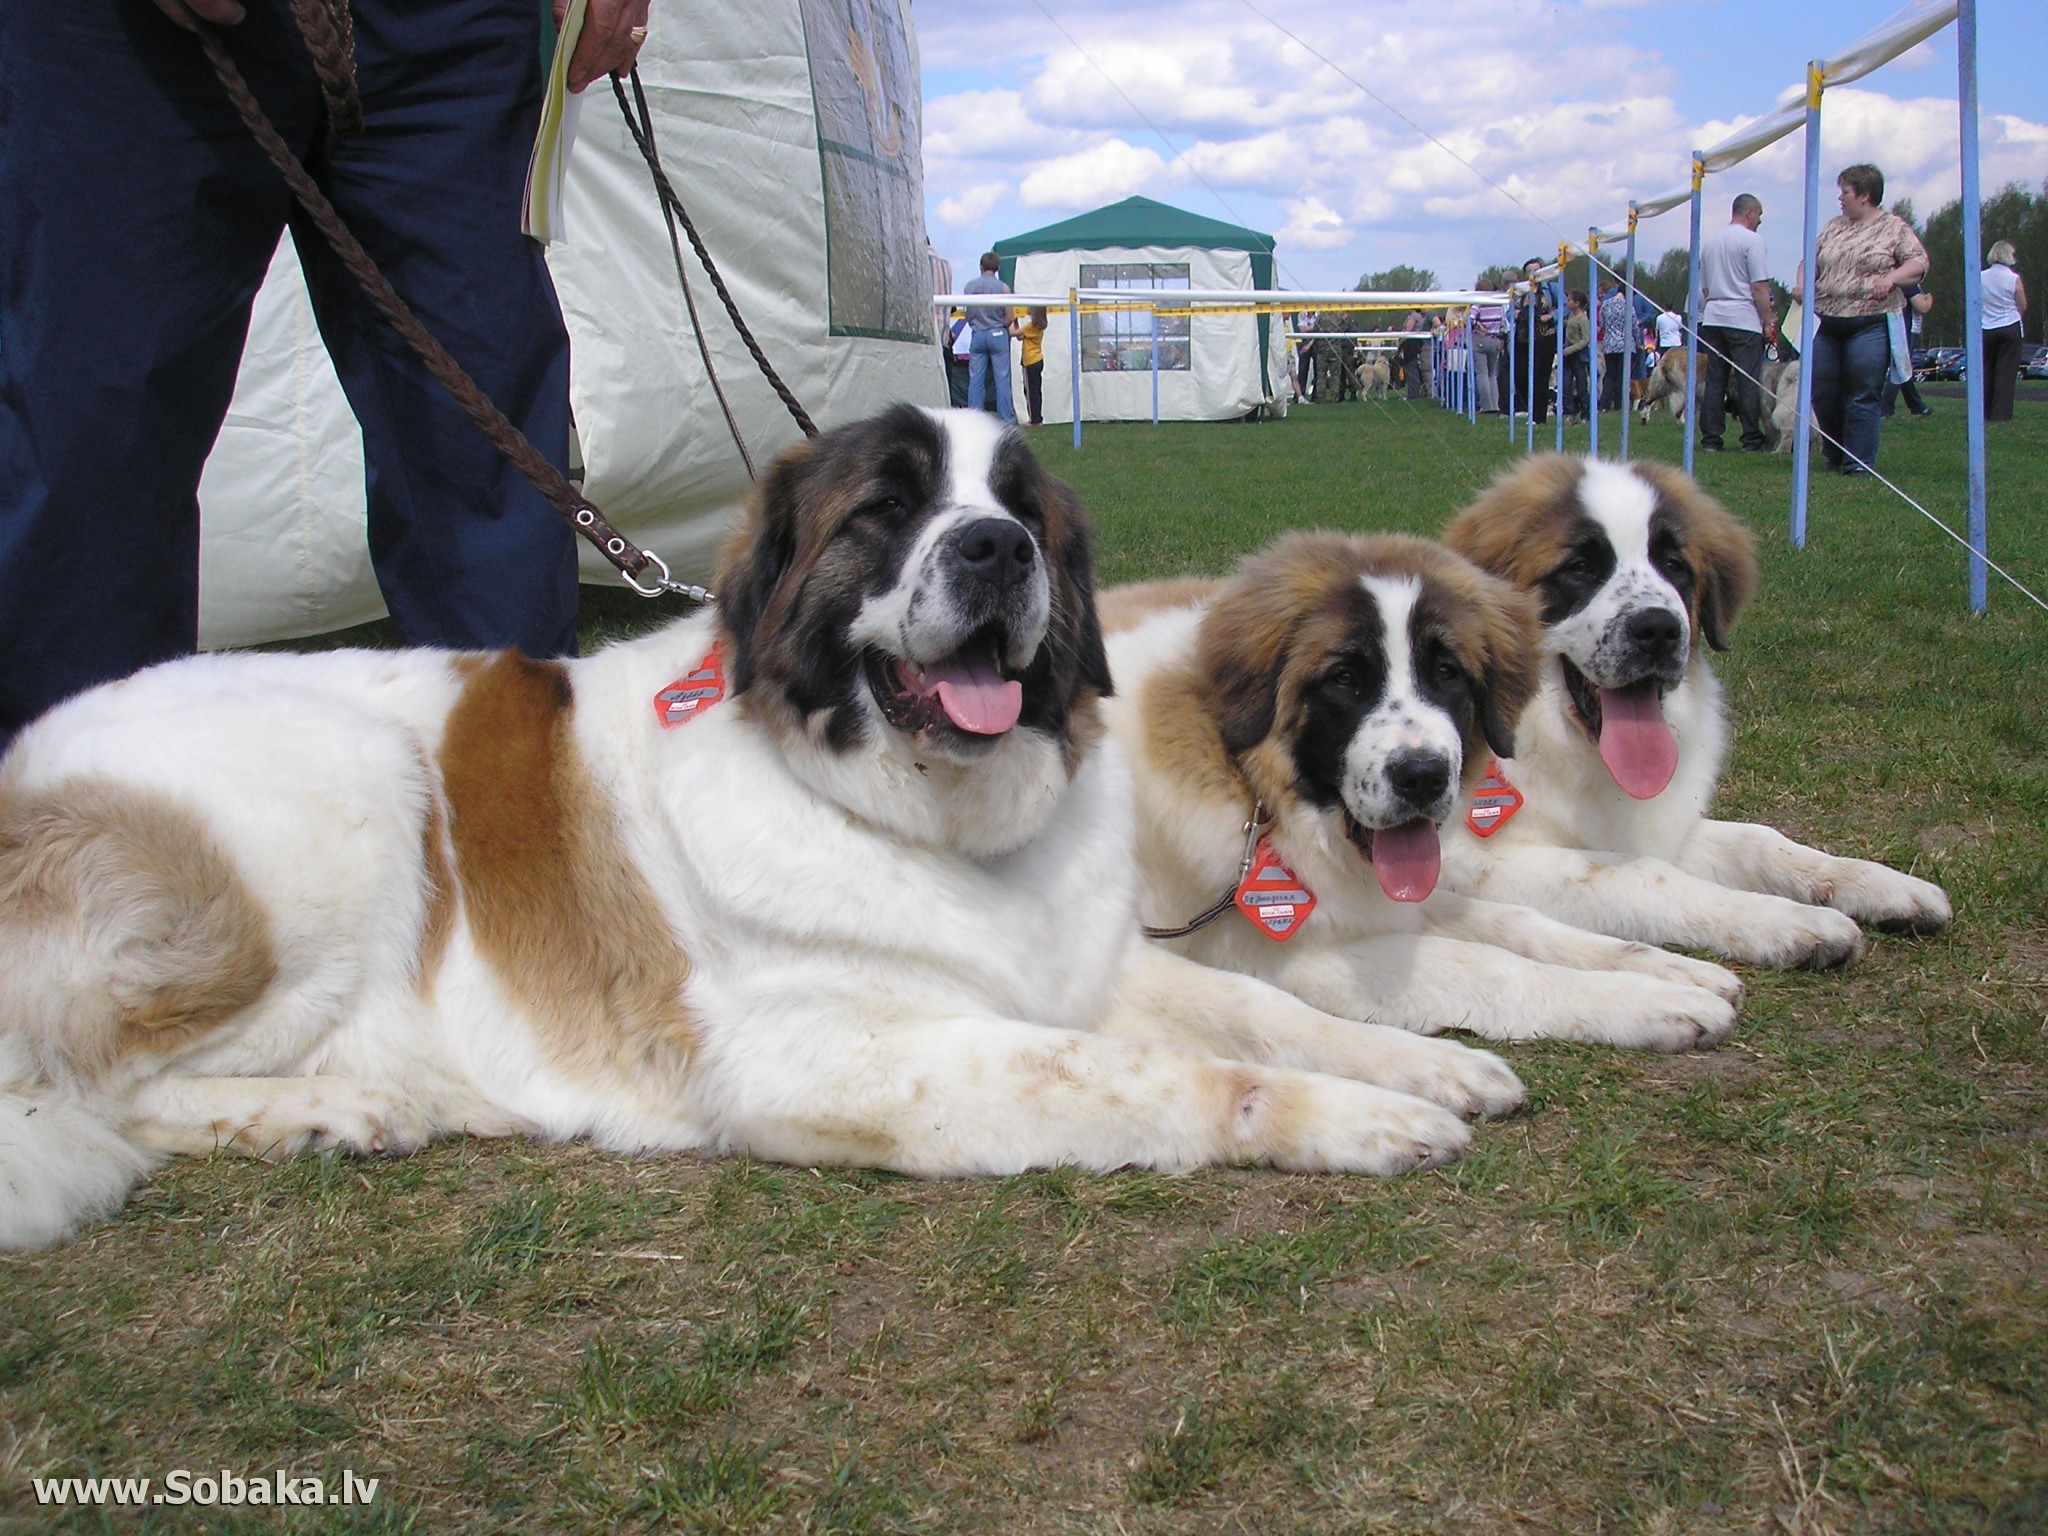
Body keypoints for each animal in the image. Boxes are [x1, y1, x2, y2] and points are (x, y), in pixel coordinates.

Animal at [0, 405, 1523, 1253]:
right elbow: (1159, 1074)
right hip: (345, 791)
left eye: (1024, 510)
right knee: (94, 1092)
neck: (921, 816)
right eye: (890, 509)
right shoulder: (839, 1056)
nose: (997, 548)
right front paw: (1362, 1119)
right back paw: (329, 1107)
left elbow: (1257, 1013)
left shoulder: (1082, 968)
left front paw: (1423, 1065)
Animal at [1105, 536, 1744, 1056]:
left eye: (1447, 673)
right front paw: (1649, 1002)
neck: (1256, 793)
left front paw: (1665, 969)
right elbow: (1488, 965)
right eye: (1344, 679)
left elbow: (1516, 922)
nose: (1423, 776)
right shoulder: (1270, 952)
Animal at [1441, 450, 1949, 966]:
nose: (1659, 629)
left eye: (1674, 565)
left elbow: (1757, 838)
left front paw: (1876, 881)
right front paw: (1790, 921)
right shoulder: (1474, 860)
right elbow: (1643, 873)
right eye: (1580, 567)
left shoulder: (1665, 828)